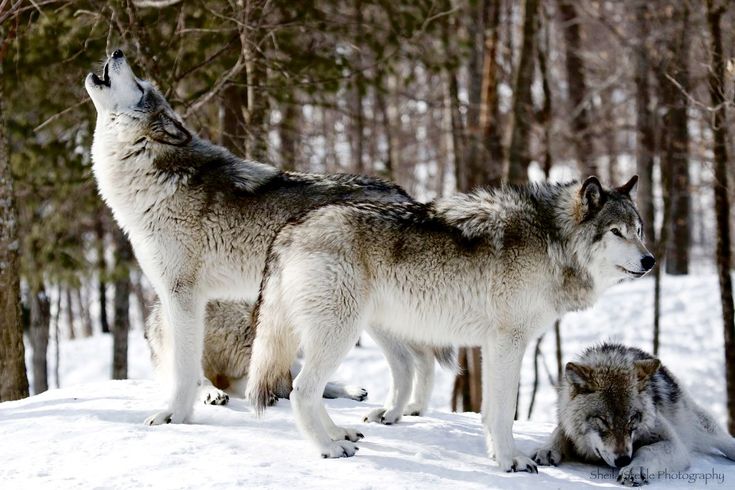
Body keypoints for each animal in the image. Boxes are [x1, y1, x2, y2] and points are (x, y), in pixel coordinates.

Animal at [536, 344, 735, 486]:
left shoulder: (674, 444)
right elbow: (559, 432)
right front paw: (547, 450)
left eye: (632, 419)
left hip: (701, 429)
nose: (624, 460)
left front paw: (635, 470)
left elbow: (646, 450)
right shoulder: (567, 423)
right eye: (603, 421)